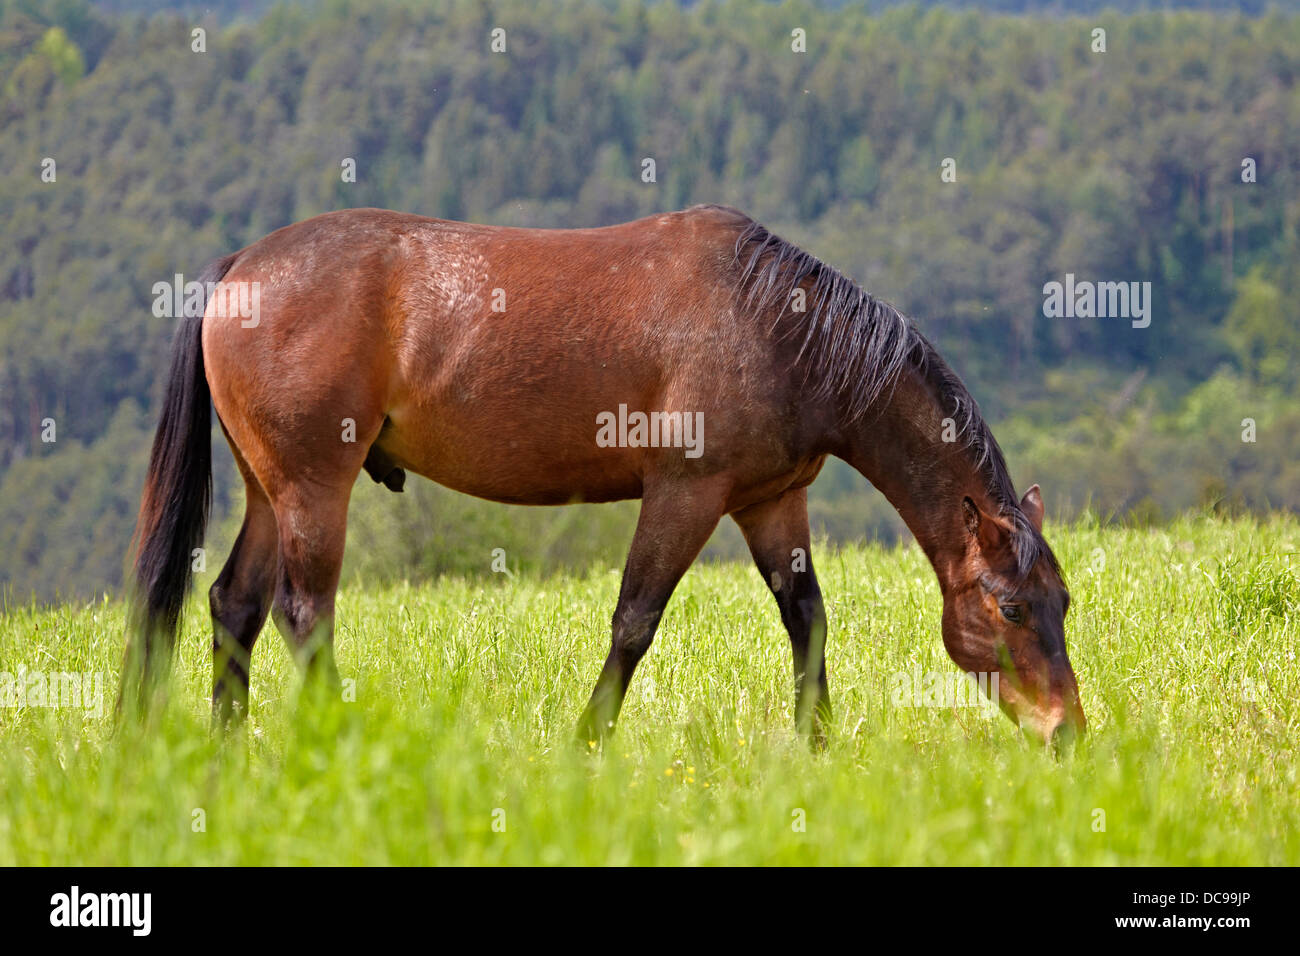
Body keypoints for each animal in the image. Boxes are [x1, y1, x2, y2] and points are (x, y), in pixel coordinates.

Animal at [124, 204, 1086, 749]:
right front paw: (589, 740)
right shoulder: (686, 495)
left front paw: (818, 745)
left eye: (1063, 602)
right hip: (314, 491)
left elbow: (807, 620)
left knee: (235, 607)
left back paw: (230, 755)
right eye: (1009, 607)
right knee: (302, 613)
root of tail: (237, 272)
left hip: (269, 490)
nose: (1068, 732)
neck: (777, 327)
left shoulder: (772, 502)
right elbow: (635, 620)